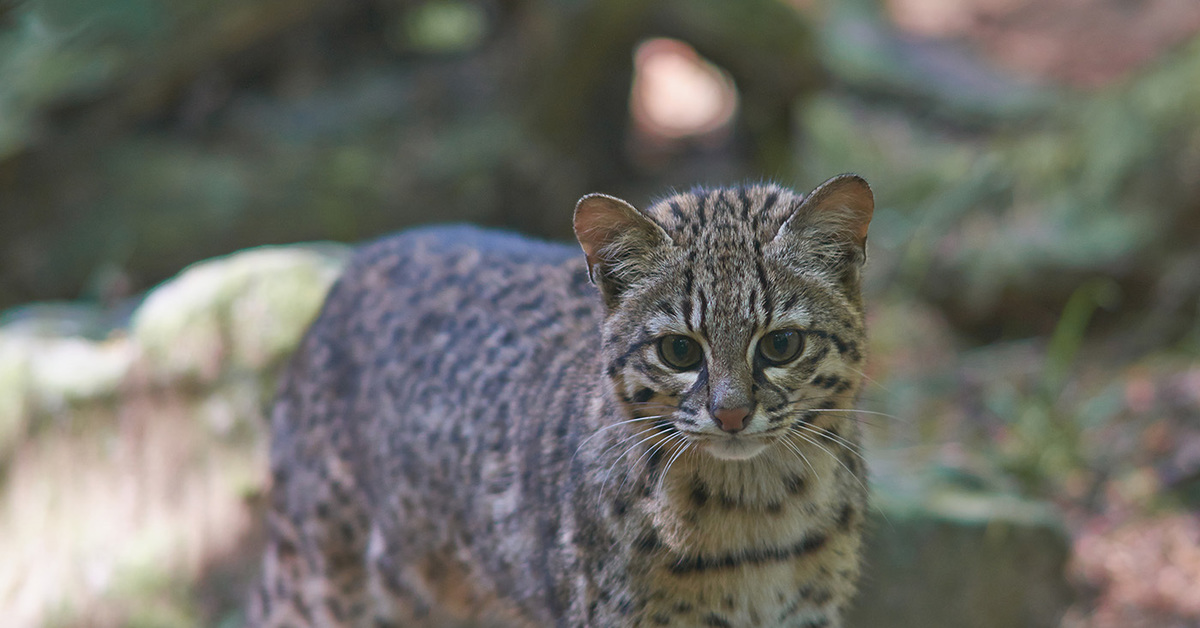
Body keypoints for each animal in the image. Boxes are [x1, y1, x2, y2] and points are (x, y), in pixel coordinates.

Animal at [248, 174, 878, 624]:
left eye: (781, 344)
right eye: (678, 350)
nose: (731, 414)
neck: (759, 511)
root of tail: (351, 268)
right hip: (313, 583)